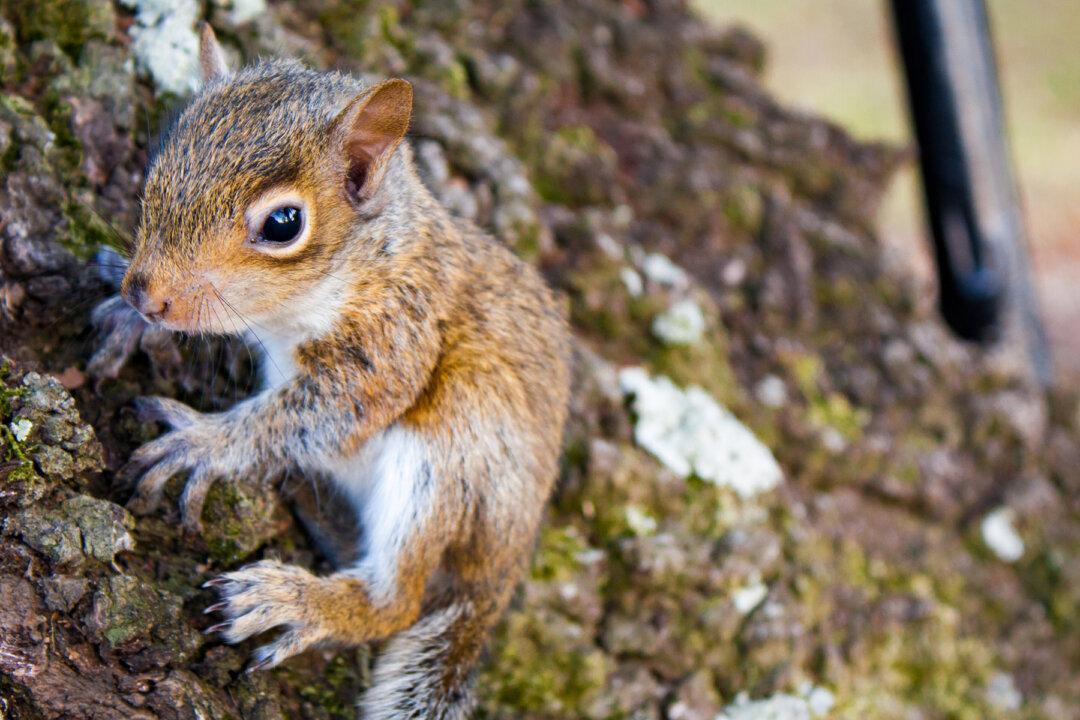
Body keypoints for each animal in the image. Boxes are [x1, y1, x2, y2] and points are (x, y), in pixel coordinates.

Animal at [95, 24, 570, 719]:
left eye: (283, 224)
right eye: (165, 152)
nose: (144, 293)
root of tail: (502, 570)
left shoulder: (393, 340)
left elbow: (315, 412)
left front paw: (206, 441)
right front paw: (126, 312)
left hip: (451, 454)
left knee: (396, 603)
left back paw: (297, 602)